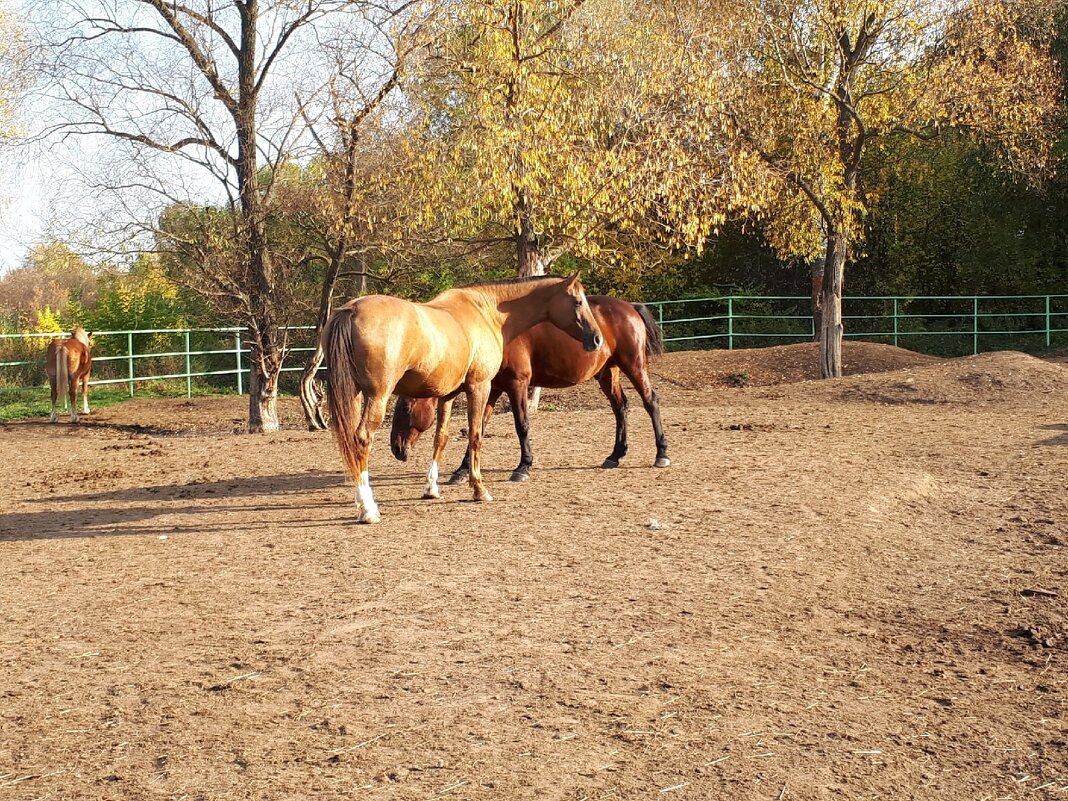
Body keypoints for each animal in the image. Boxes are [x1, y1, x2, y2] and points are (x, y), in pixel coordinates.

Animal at [320, 275, 606, 527]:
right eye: (578, 301)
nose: (596, 339)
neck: (486, 312)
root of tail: (351, 310)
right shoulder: (480, 387)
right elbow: (475, 435)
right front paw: (479, 489)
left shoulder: (447, 395)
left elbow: (441, 438)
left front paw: (432, 488)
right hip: (376, 397)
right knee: (362, 439)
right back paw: (368, 509)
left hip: (355, 396)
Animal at [393, 296, 666, 480]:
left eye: (405, 408)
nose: (396, 448)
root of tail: (630, 307)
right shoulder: (492, 389)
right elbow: (477, 428)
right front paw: (461, 471)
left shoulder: (517, 385)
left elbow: (521, 425)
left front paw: (523, 466)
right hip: (608, 373)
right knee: (620, 407)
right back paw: (615, 455)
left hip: (634, 366)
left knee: (650, 401)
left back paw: (661, 453)